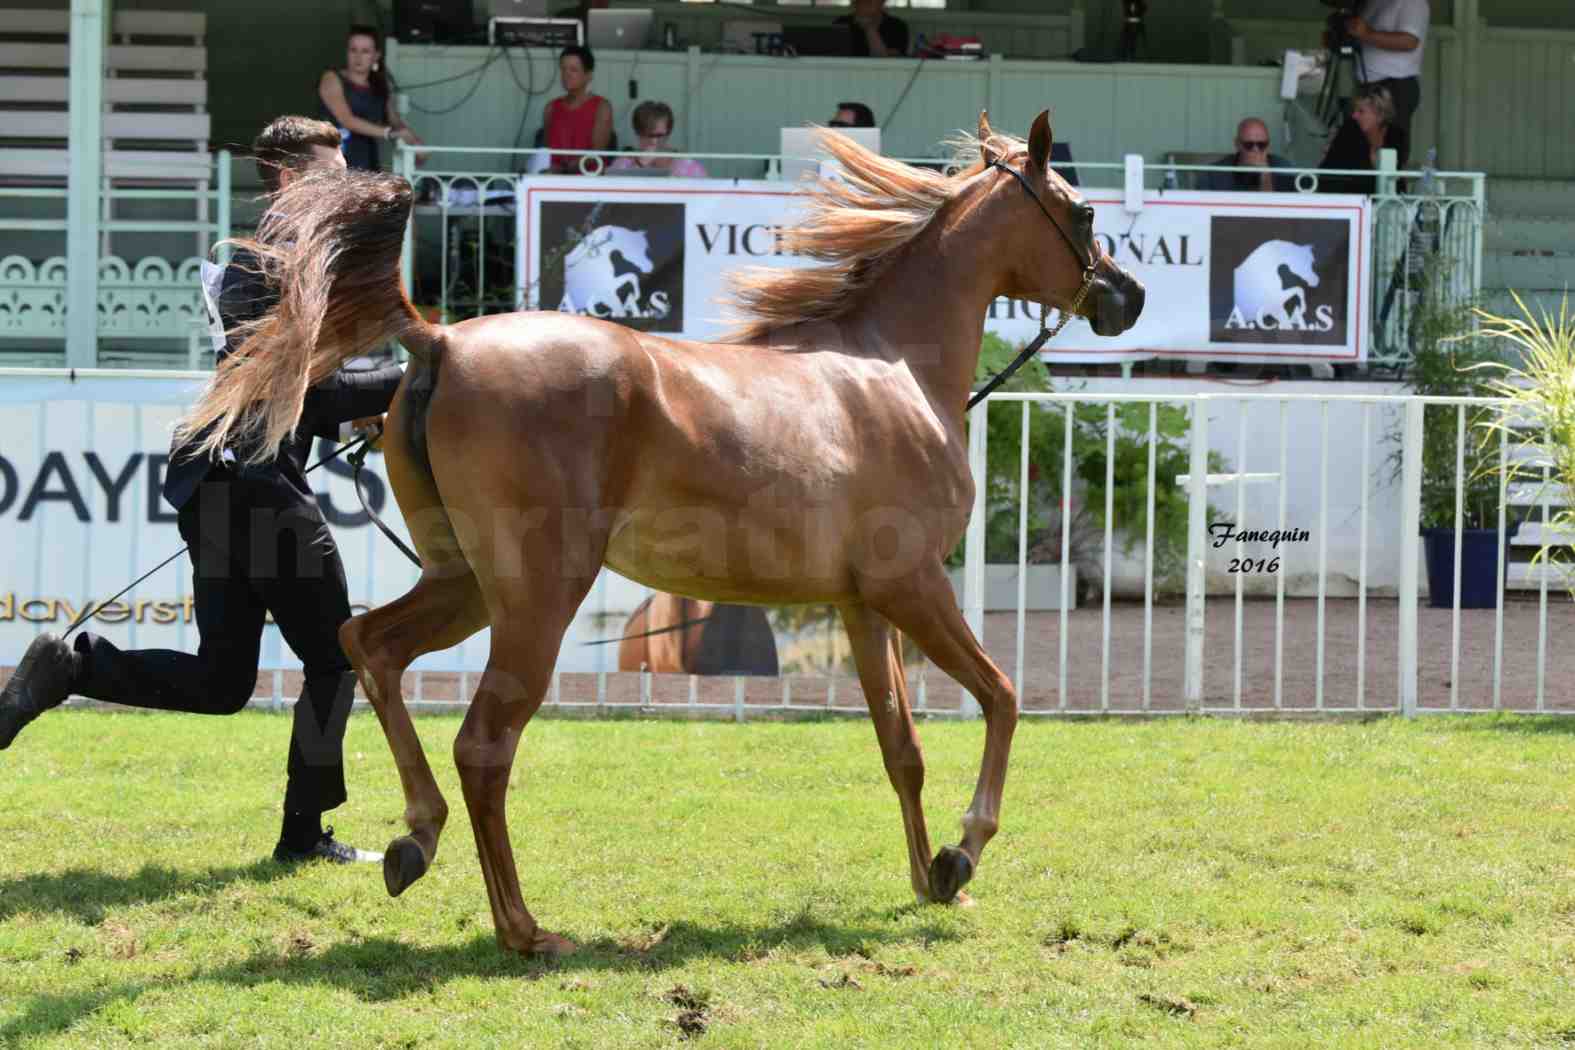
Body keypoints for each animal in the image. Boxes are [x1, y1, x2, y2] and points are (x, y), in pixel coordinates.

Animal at [181, 110, 1146, 957]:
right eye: (1082, 210)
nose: (1124, 298)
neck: (889, 369)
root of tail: (441, 344)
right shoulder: (916, 584)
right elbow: (1003, 696)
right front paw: (967, 847)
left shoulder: (864, 605)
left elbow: (899, 749)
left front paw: (933, 876)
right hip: (537, 600)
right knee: (482, 744)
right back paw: (525, 930)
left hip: (464, 585)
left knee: (367, 646)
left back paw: (415, 841)